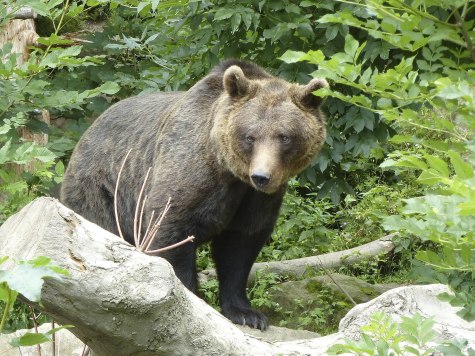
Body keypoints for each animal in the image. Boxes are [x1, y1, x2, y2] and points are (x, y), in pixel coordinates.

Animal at [60, 59, 328, 330]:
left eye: (284, 137)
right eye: (250, 136)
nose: (262, 176)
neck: (230, 171)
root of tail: (88, 131)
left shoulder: (256, 200)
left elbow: (240, 246)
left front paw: (247, 314)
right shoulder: (190, 175)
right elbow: (170, 234)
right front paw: (192, 303)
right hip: (103, 188)